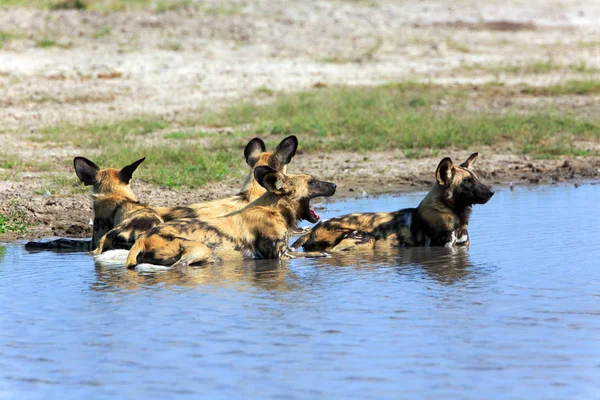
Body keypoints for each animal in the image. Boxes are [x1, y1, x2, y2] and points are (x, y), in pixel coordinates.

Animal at [125, 166, 338, 268]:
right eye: (312, 182)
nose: (335, 185)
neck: (274, 209)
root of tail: (144, 238)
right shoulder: (281, 256)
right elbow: (311, 254)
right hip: (201, 249)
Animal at [290, 152, 492, 252]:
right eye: (467, 182)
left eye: (476, 178)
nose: (491, 192)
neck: (456, 216)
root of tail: (313, 229)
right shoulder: (445, 248)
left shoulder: (461, 248)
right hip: (364, 238)